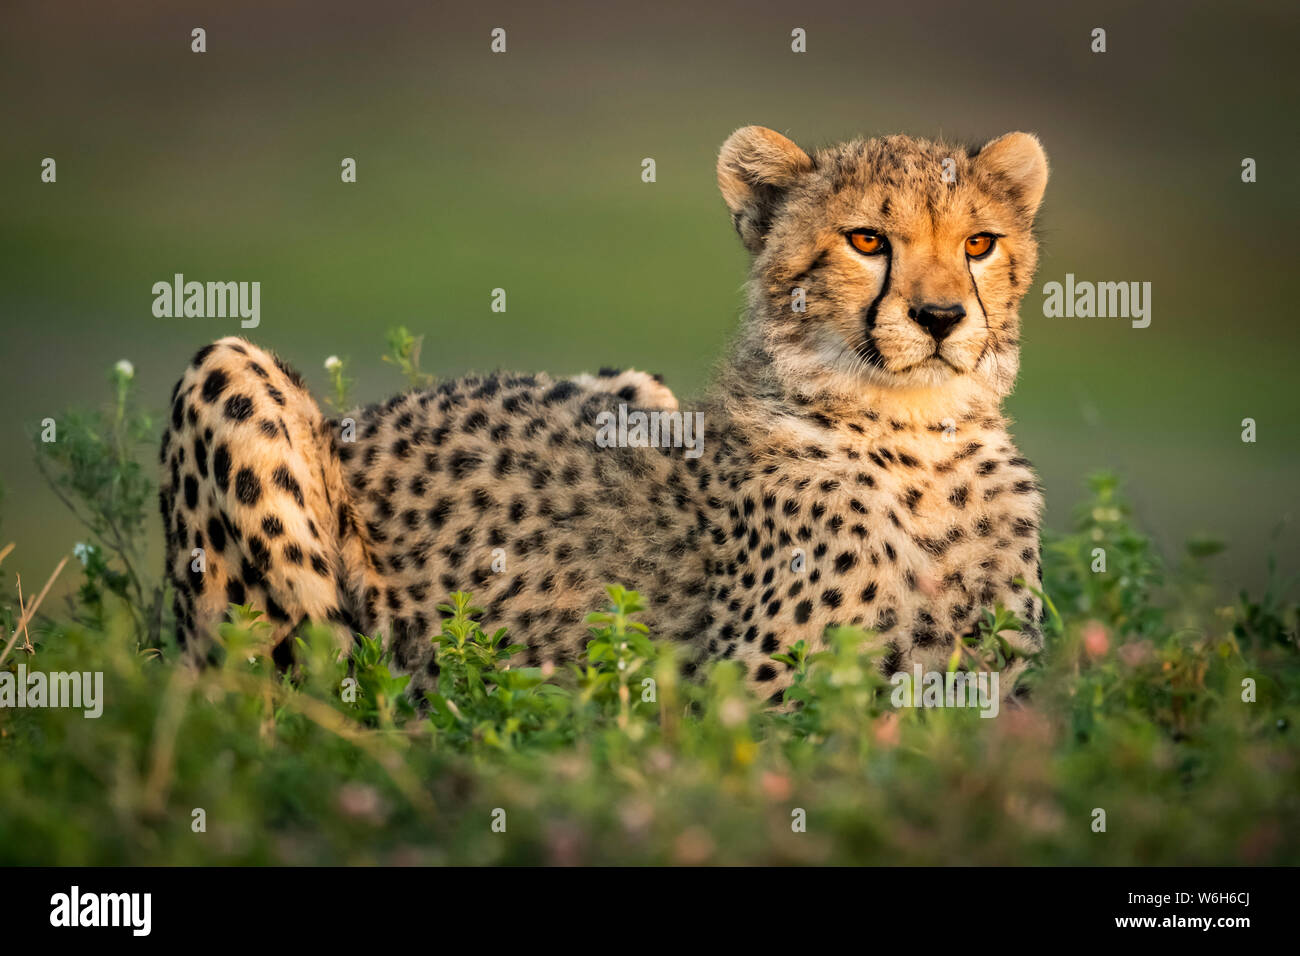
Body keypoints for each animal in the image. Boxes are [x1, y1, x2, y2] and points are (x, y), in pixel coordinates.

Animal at [159, 127, 1055, 697]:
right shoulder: (754, 702)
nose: (940, 317)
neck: (919, 436)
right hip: (228, 373)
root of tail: (371, 416)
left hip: (631, 387)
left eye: (978, 244)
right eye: (868, 241)